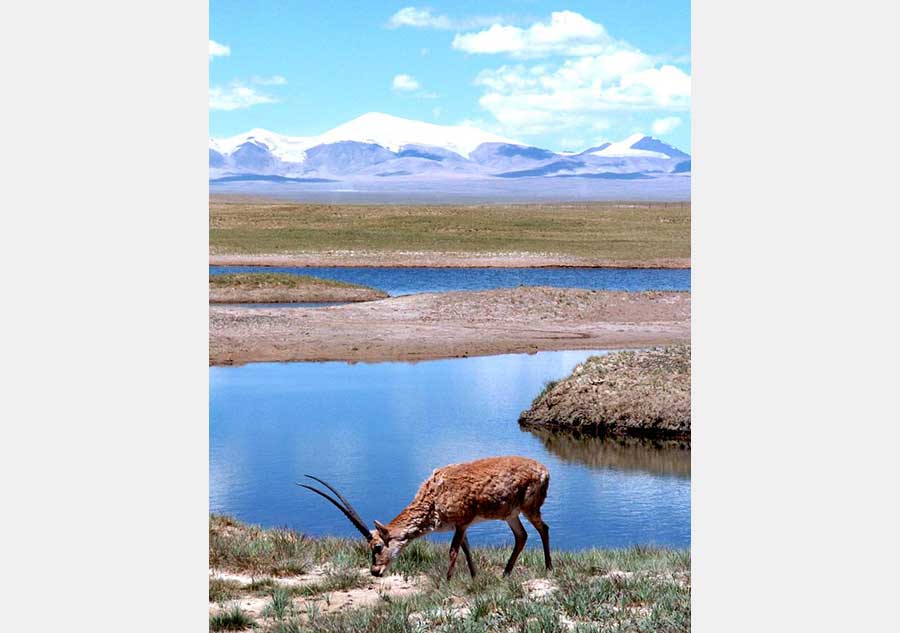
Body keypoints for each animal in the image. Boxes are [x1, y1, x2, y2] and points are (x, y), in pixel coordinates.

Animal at [298, 454, 552, 576]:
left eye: (377, 547)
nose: (375, 571)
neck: (434, 494)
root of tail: (544, 470)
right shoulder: (461, 527)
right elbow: (466, 550)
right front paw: (474, 578)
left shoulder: (461, 523)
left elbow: (453, 551)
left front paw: (447, 582)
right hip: (511, 514)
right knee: (521, 536)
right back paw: (505, 575)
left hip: (529, 508)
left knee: (543, 529)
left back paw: (548, 569)